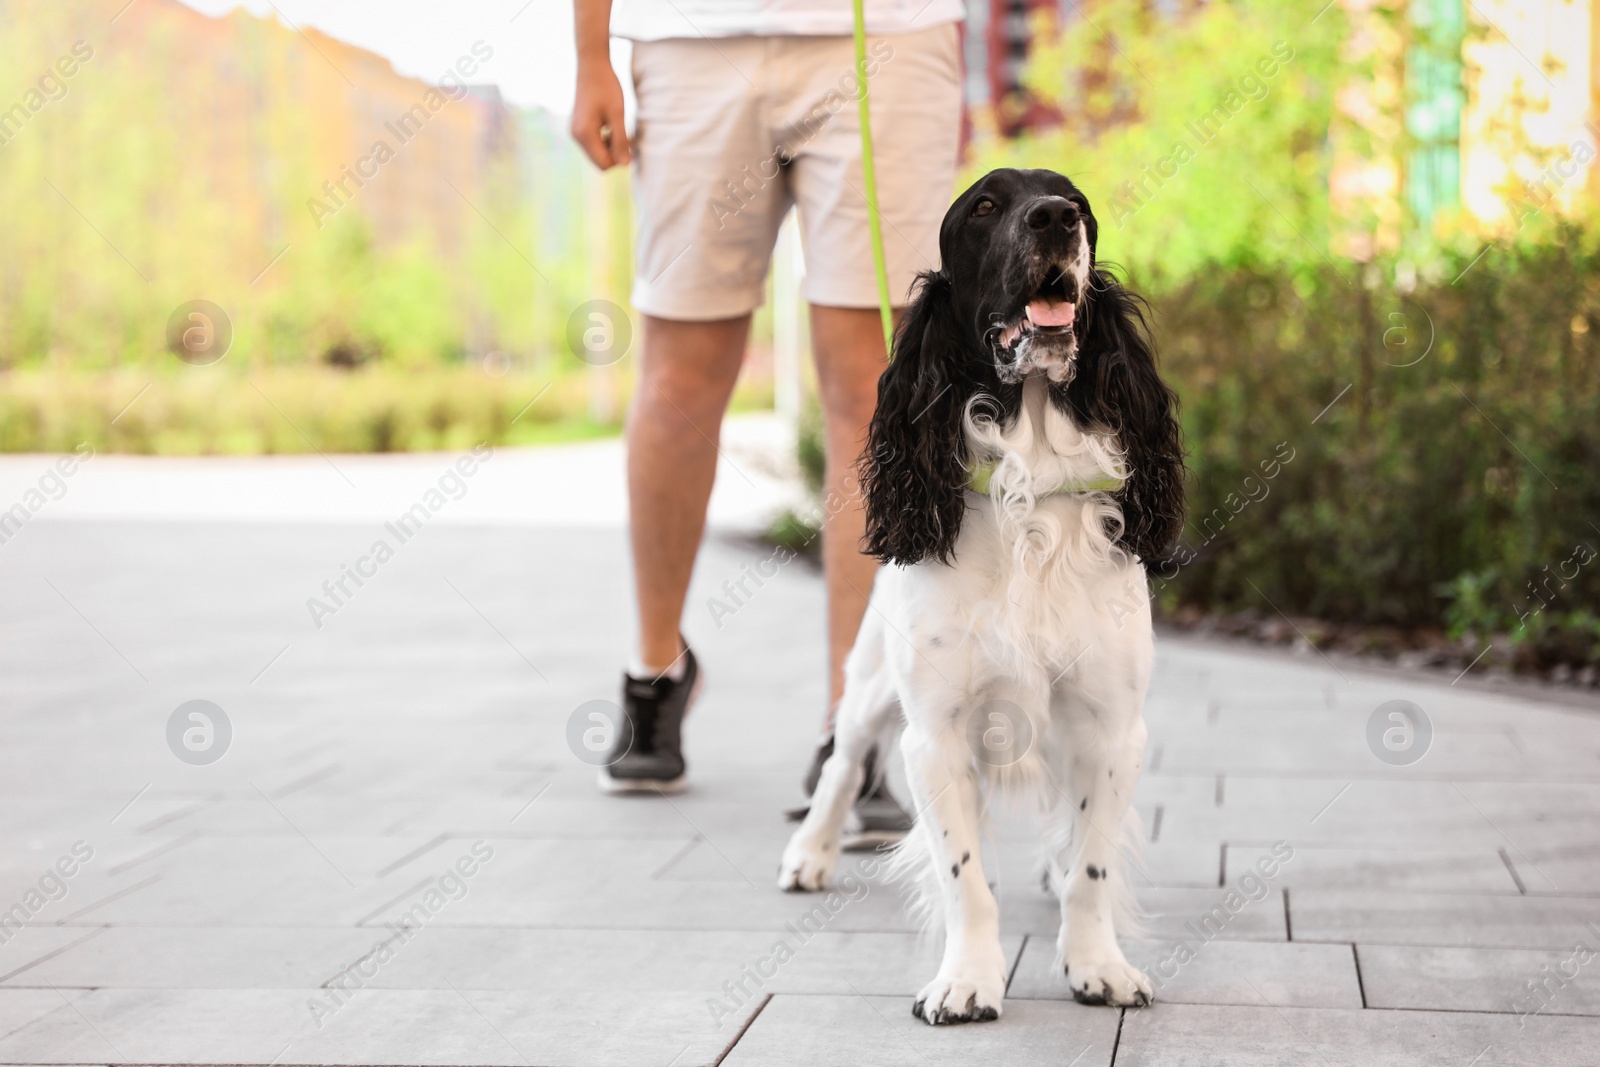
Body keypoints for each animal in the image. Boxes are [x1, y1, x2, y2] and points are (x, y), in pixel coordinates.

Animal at [780, 168, 1184, 1023]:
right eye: (987, 207)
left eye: (1079, 204)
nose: (1056, 219)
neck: (1027, 483)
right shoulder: (934, 735)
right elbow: (963, 876)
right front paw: (966, 979)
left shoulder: (1110, 728)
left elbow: (1093, 864)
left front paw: (1097, 965)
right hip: (871, 684)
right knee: (842, 759)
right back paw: (810, 854)